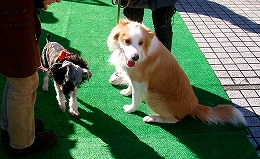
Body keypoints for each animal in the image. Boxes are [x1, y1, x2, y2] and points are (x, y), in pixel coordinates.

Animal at [107, 19, 246, 125]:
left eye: (141, 43)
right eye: (127, 41)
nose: (135, 57)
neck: (143, 51)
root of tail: (193, 106)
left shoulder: (140, 81)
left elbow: (136, 98)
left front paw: (131, 109)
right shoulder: (135, 76)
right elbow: (131, 86)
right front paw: (127, 92)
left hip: (153, 95)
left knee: (173, 120)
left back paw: (152, 118)